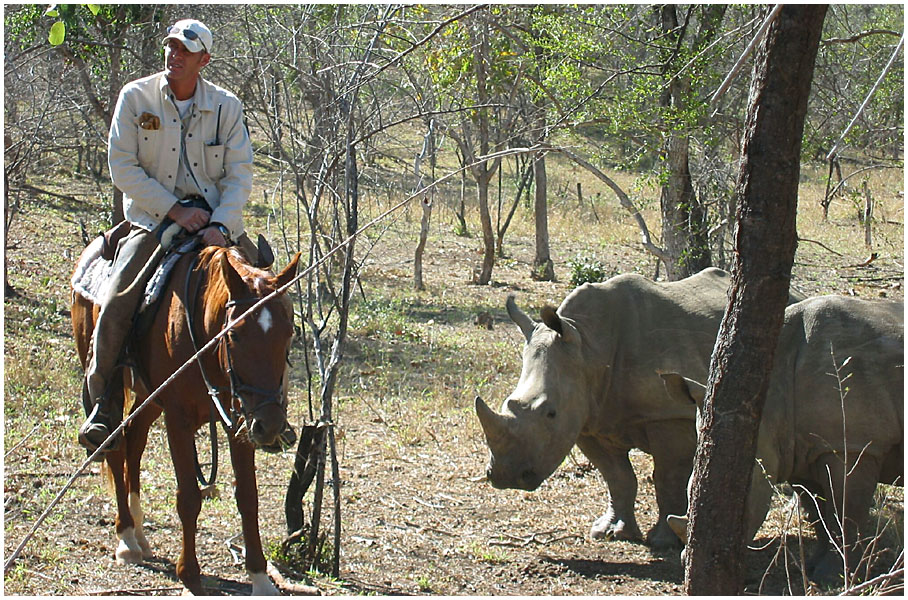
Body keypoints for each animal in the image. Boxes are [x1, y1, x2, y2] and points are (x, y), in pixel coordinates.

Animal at [72, 244, 298, 596]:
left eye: (289, 331)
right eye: (234, 334)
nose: (272, 426)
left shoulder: (240, 421)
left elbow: (248, 497)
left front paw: (260, 578)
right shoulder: (178, 419)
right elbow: (189, 498)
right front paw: (190, 578)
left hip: (149, 397)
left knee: (134, 440)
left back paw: (139, 532)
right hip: (109, 377)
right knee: (115, 447)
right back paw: (127, 538)